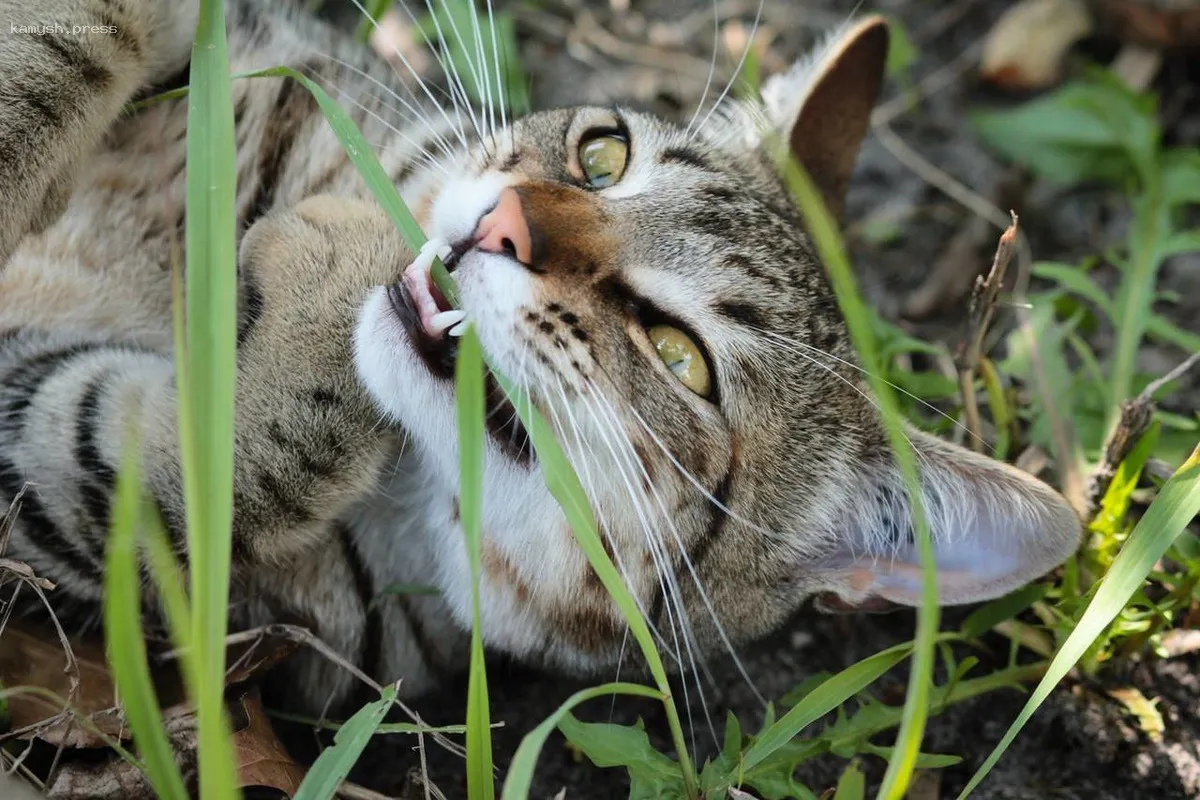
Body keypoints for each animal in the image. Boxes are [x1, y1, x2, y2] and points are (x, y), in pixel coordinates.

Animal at [0, 0, 1084, 714]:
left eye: (679, 358)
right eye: (602, 154)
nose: (507, 222)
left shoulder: (71, 486)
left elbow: (175, 466)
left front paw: (329, 271)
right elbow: (72, 36)